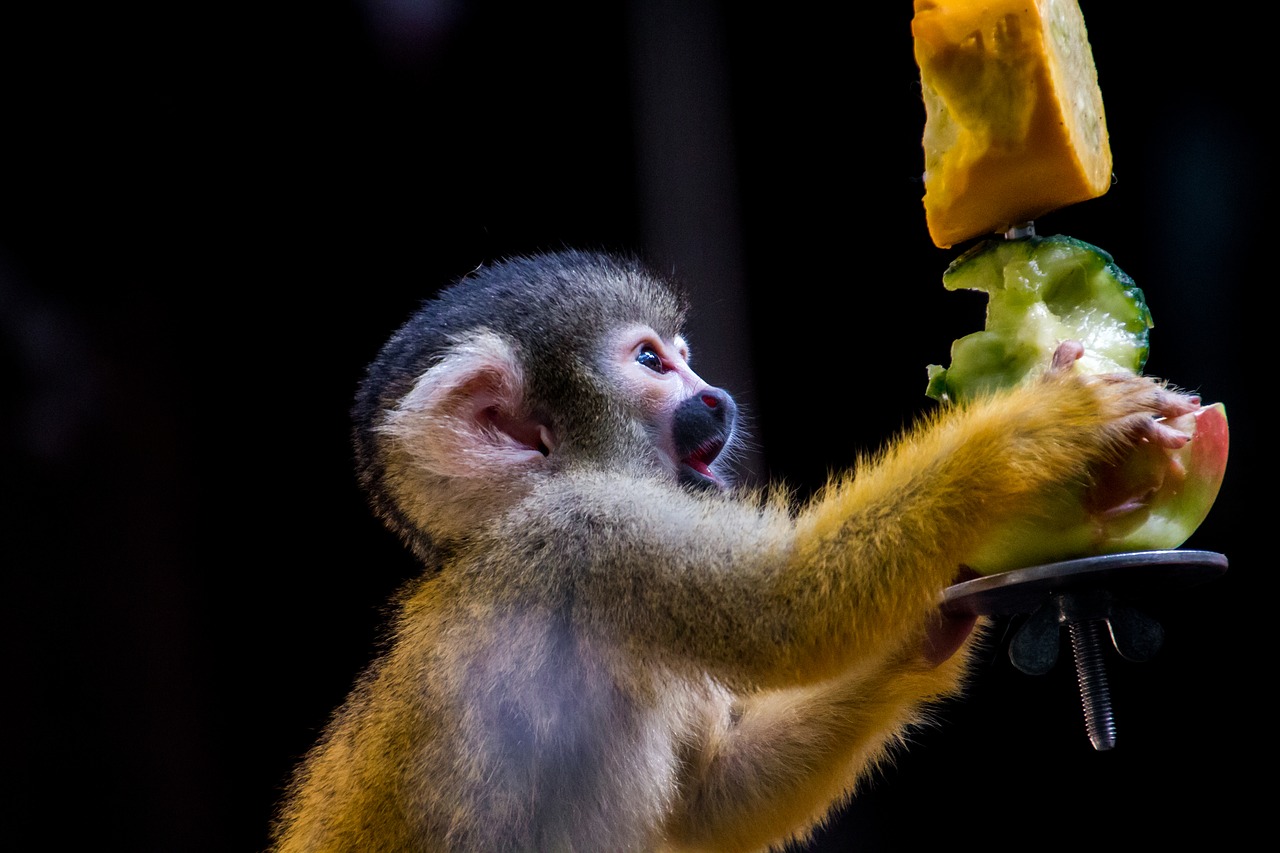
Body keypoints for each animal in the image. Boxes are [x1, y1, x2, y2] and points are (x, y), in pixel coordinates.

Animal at [270, 249, 1198, 845]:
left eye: (685, 357)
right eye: (653, 362)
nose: (714, 395)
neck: (501, 523)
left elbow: (712, 805)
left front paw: (930, 628)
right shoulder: (585, 535)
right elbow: (788, 612)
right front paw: (1033, 430)